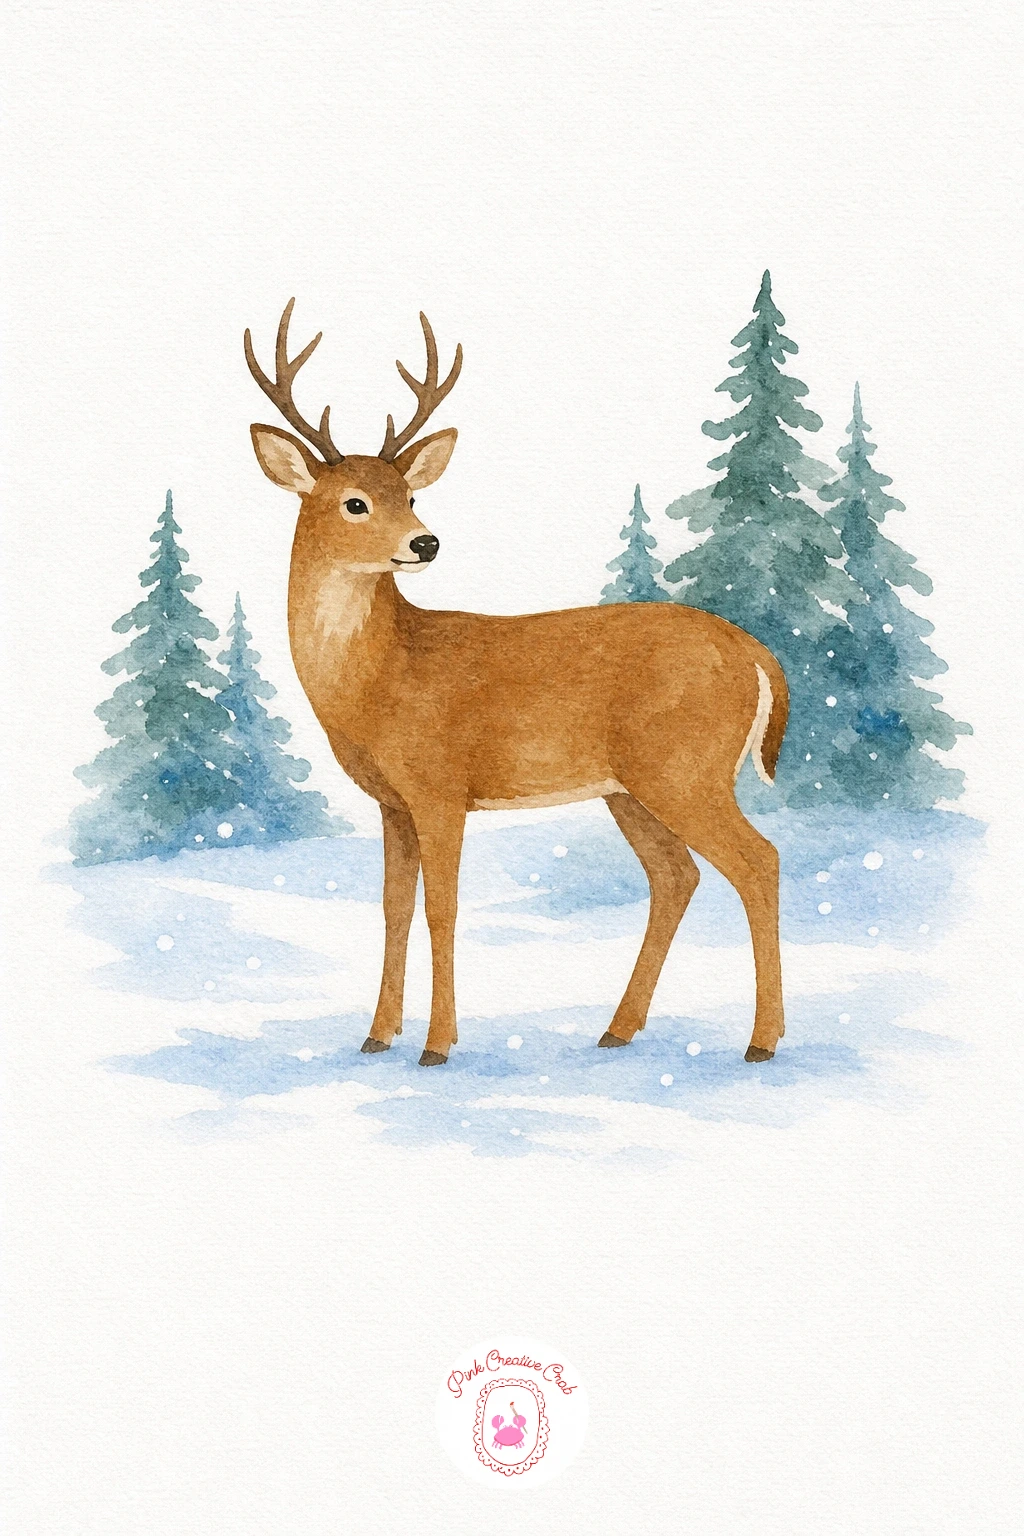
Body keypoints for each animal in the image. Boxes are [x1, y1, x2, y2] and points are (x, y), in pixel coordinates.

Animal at [244, 300, 789, 1068]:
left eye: (410, 493)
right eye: (355, 502)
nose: (425, 542)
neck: (380, 676)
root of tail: (752, 650)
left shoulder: (440, 786)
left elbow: (442, 909)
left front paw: (437, 1046)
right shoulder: (393, 802)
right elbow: (393, 907)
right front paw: (377, 1035)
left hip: (686, 768)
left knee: (757, 861)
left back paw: (761, 1042)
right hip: (630, 786)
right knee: (676, 876)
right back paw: (619, 1028)